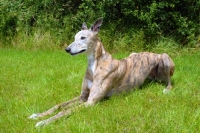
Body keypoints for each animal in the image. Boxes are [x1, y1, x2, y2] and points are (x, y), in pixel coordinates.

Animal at [28, 17, 174, 127]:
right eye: (74, 37)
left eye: (83, 37)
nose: (67, 49)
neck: (95, 64)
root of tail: (153, 53)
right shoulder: (83, 97)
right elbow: (59, 106)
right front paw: (38, 115)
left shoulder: (90, 102)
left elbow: (64, 112)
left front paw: (44, 122)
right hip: (134, 54)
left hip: (164, 57)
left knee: (170, 82)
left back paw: (167, 89)